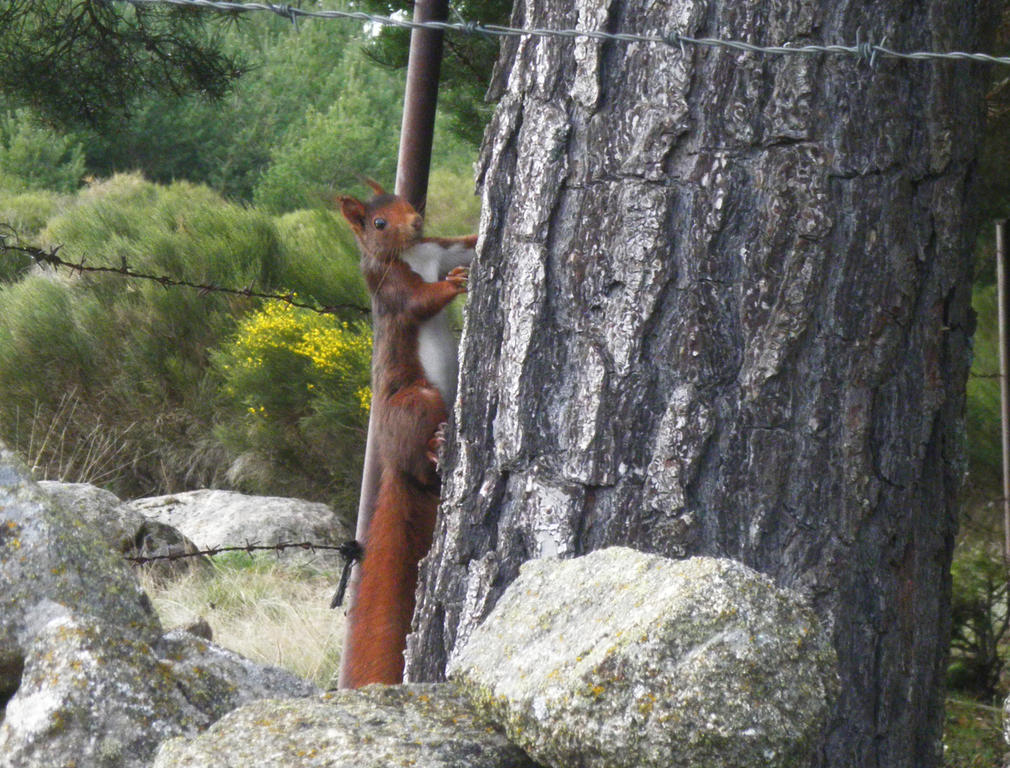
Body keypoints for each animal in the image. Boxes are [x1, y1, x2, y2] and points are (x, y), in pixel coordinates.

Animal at [337, 181, 474, 691]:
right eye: (378, 223)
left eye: (407, 202)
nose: (415, 222)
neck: (413, 253)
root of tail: (391, 463)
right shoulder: (392, 288)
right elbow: (421, 301)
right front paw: (454, 284)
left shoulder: (440, 246)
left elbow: (467, 244)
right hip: (417, 401)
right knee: (419, 456)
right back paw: (435, 447)